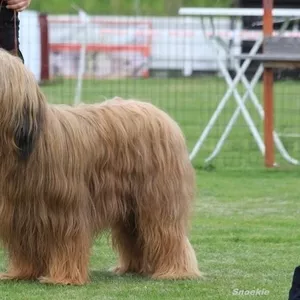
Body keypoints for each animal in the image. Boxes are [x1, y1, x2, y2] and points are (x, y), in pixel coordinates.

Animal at [0, 49, 199, 286]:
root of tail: (161, 115)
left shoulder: (66, 211)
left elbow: (66, 241)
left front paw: (63, 277)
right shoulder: (20, 211)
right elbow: (24, 247)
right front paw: (21, 273)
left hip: (158, 197)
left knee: (166, 231)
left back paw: (174, 270)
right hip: (130, 206)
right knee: (134, 234)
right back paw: (133, 268)